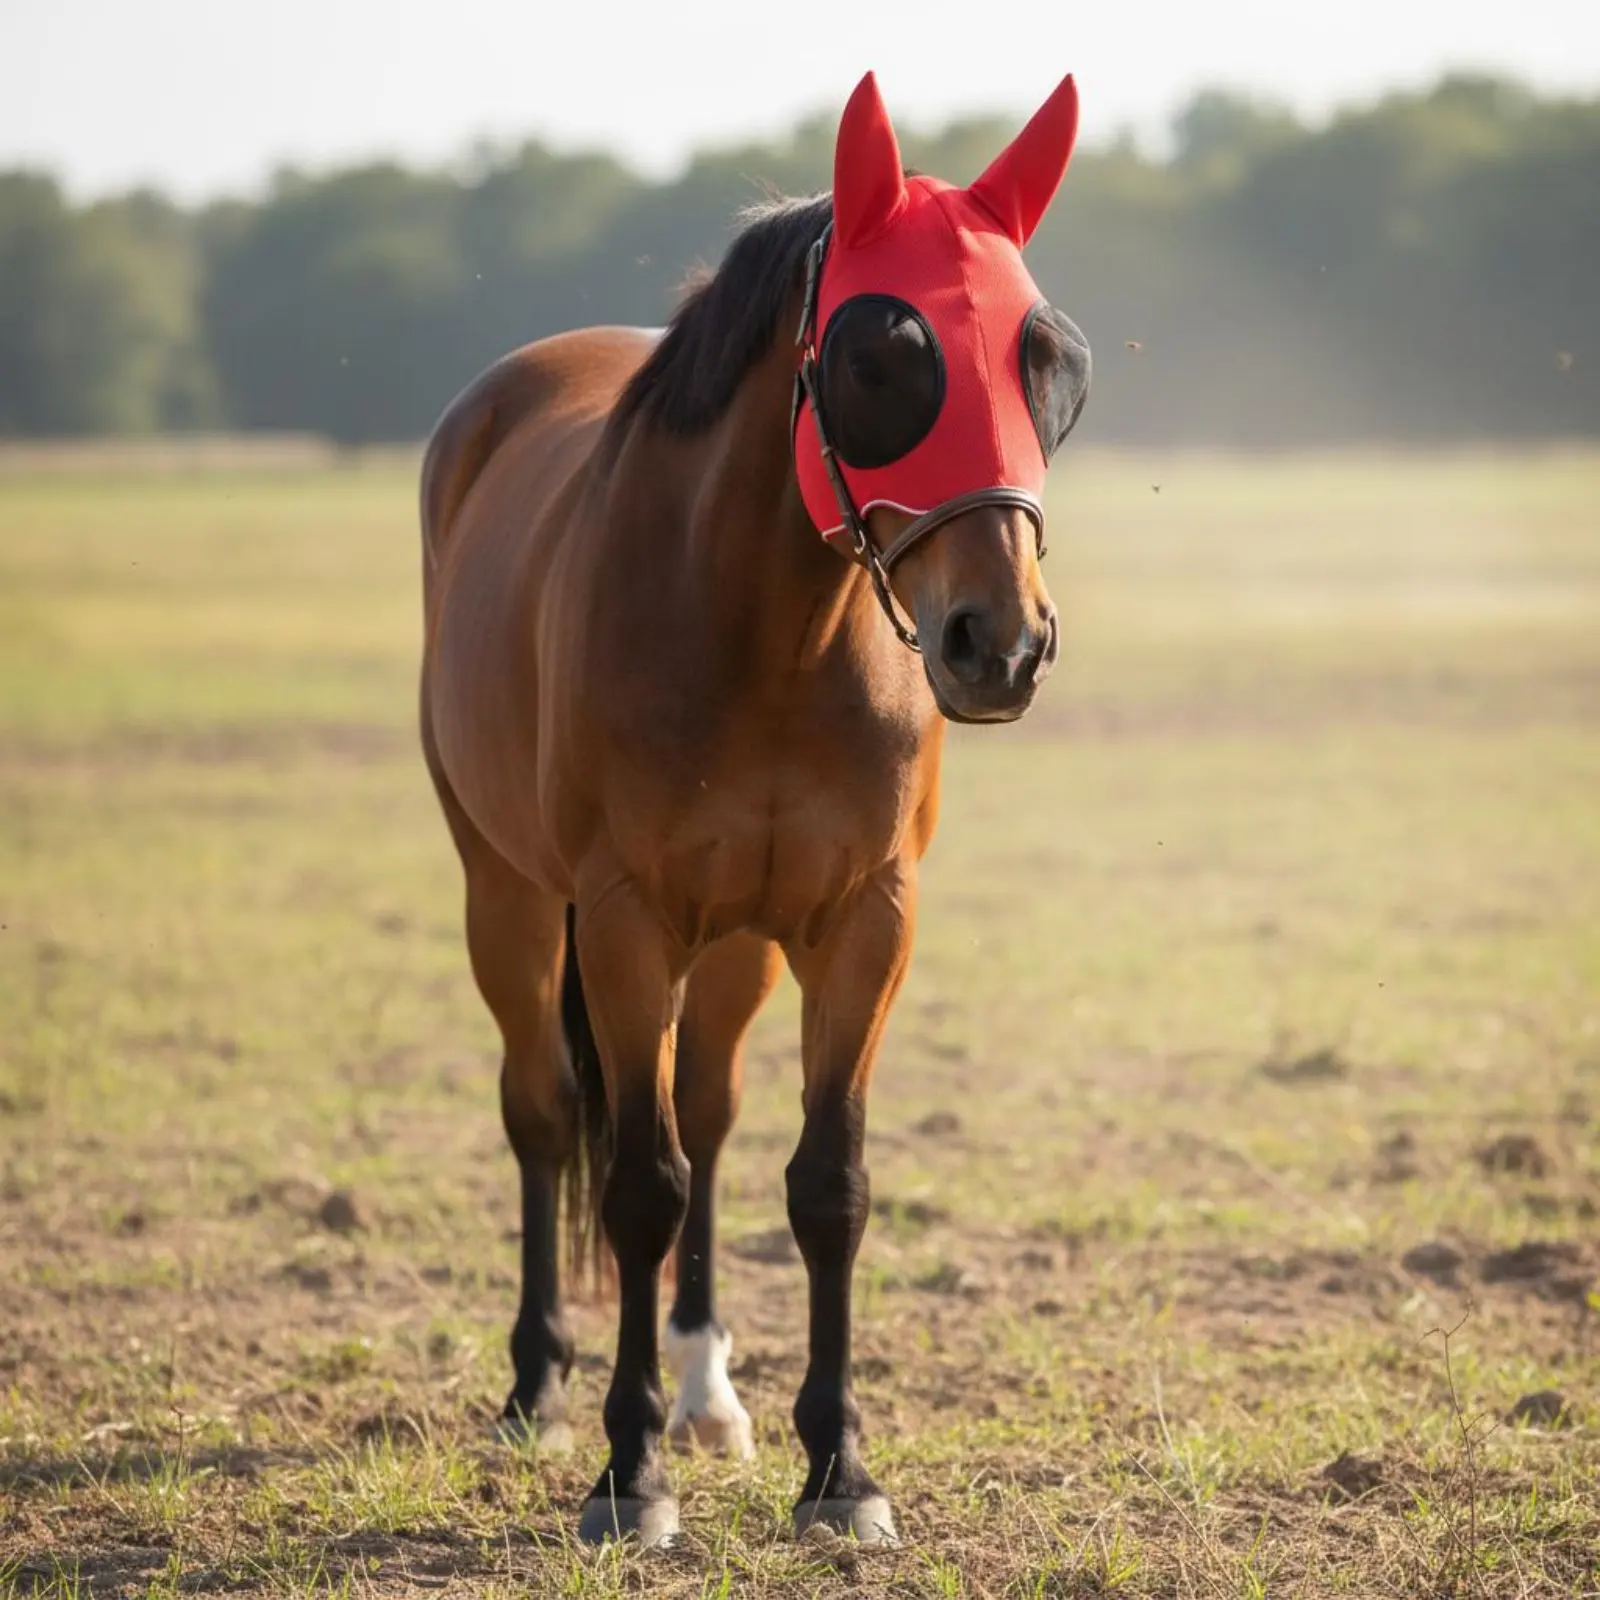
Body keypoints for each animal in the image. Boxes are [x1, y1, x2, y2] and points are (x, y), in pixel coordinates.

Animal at [418, 70, 1091, 1547]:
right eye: (881, 353)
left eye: (1047, 358)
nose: (1000, 645)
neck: (770, 637)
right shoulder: (620, 921)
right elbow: (635, 1180)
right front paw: (628, 1476)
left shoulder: (862, 924)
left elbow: (822, 1183)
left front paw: (839, 1469)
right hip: (508, 897)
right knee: (547, 1109)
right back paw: (537, 1391)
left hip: (730, 946)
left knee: (709, 1110)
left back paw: (705, 1391)